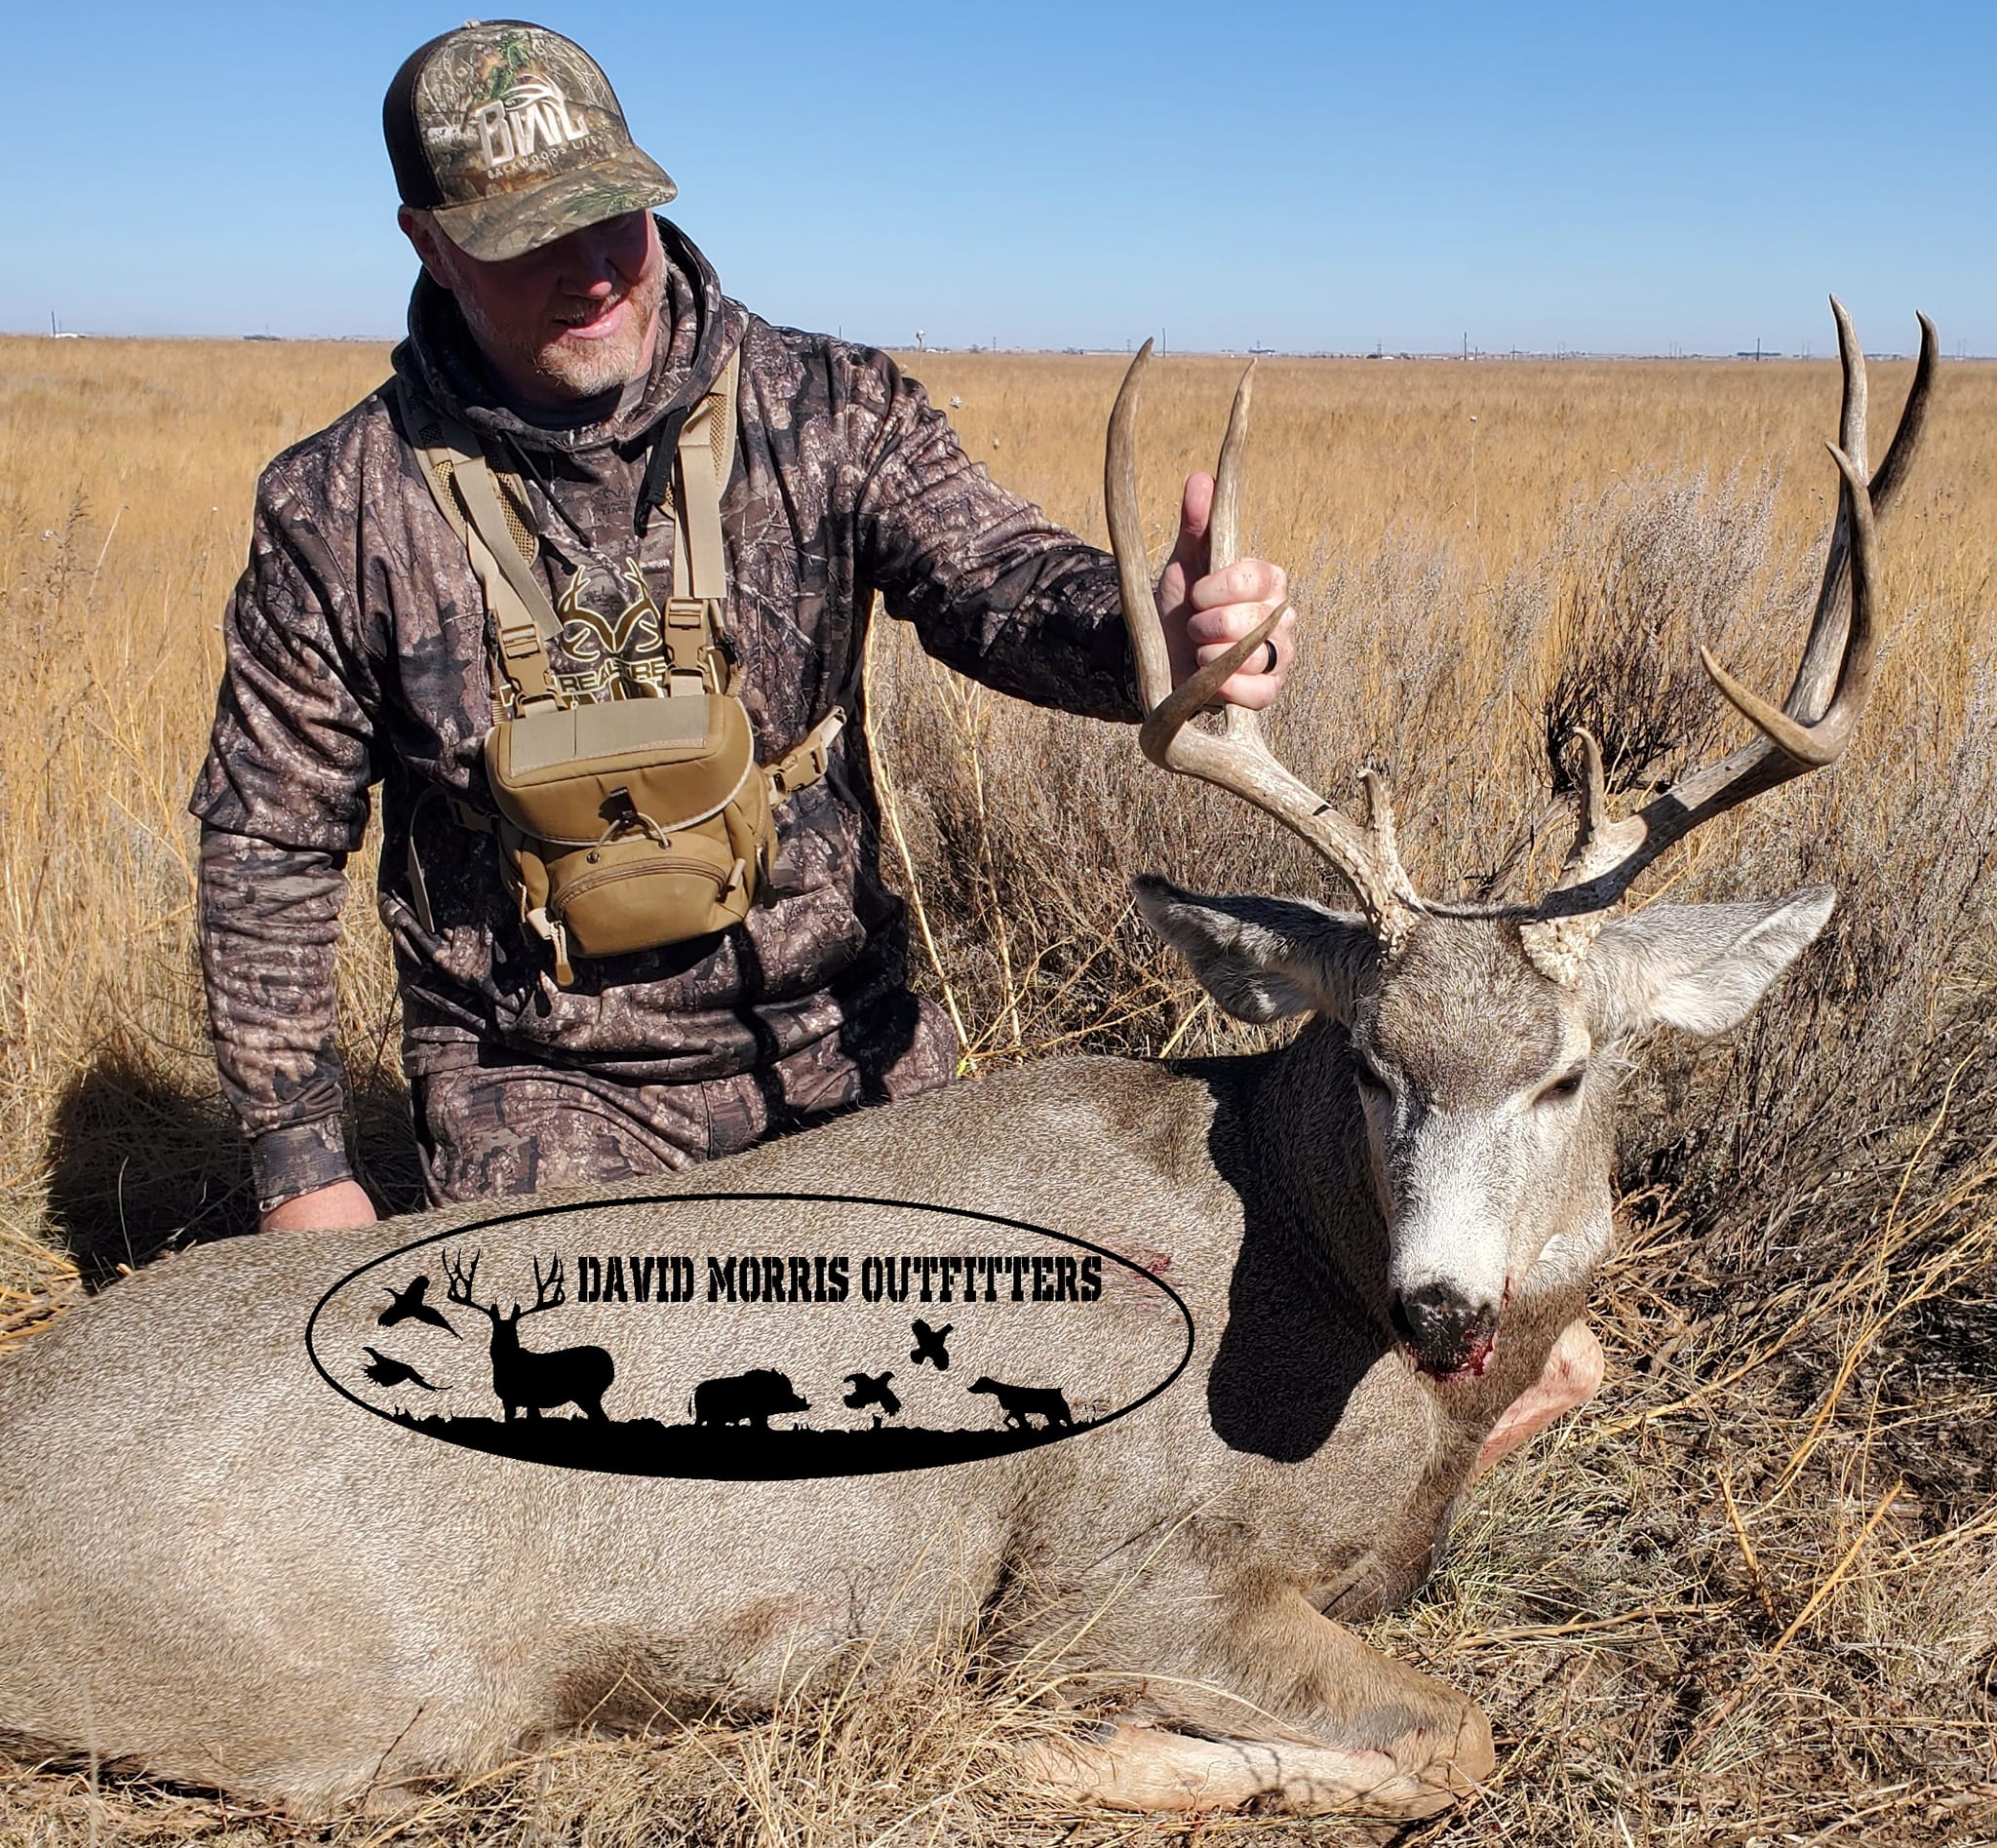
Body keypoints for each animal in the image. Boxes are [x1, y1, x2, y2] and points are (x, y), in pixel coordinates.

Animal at [439, 1248, 615, 1423]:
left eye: (513, 1332)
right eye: (496, 1330)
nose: (503, 1345)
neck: (508, 1363)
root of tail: (610, 1364)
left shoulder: (529, 1398)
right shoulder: (509, 1401)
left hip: (586, 1392)